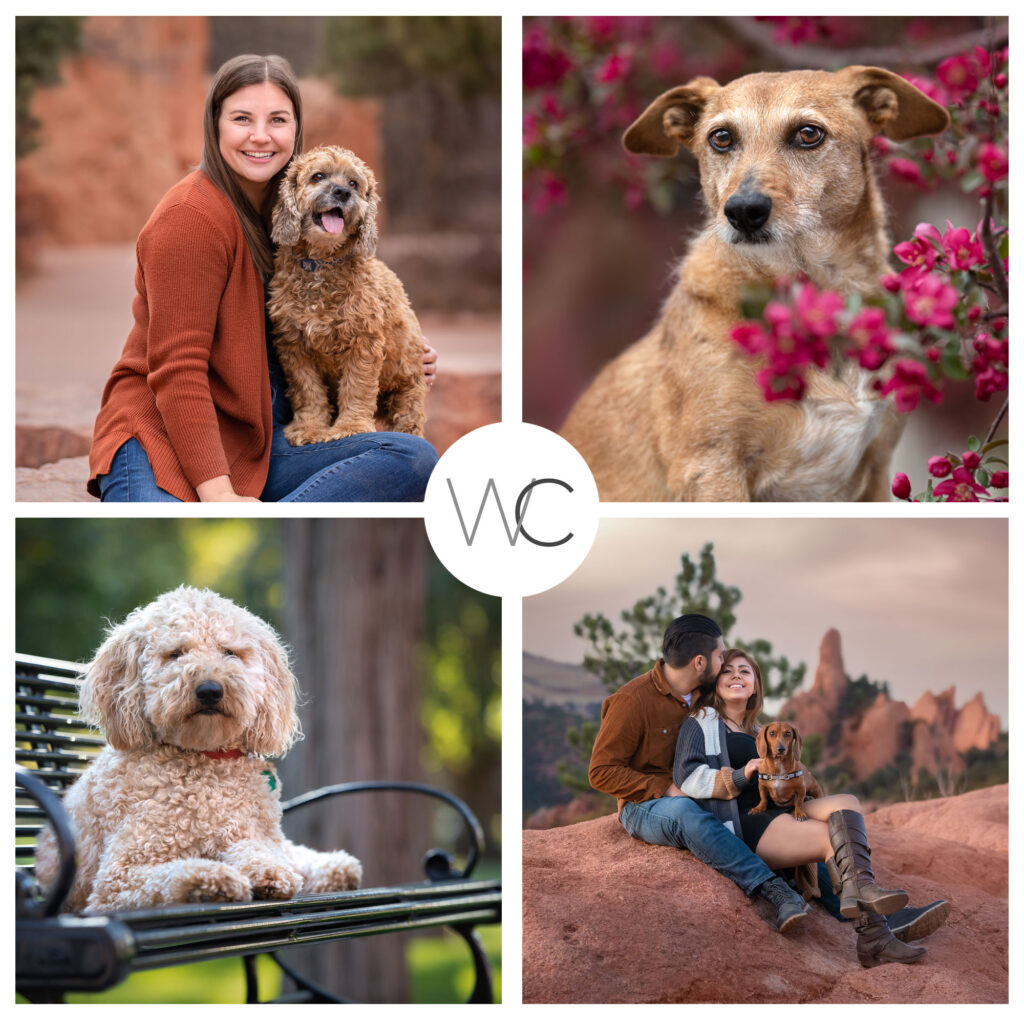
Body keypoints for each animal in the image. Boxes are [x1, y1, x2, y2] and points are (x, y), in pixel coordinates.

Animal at [34, 585, 362, 913]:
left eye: (229, 652)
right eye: (176, 654)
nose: (210, 690)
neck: (206, 760)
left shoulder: (249, 832)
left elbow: (258, 849)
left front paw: (267, 871)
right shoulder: (117, 878)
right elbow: (172, 873)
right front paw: (214, 878)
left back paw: (335, 868)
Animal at [266, 144, 425, 444]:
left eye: (354, 183)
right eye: (318, 176)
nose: (342, 192)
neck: (321, 263)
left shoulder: (363, 342)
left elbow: (357, 387)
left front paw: (351, 426)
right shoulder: (294, 345)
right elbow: (308, 391)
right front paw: (310, 428)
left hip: (408, 387)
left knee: (411, 420)